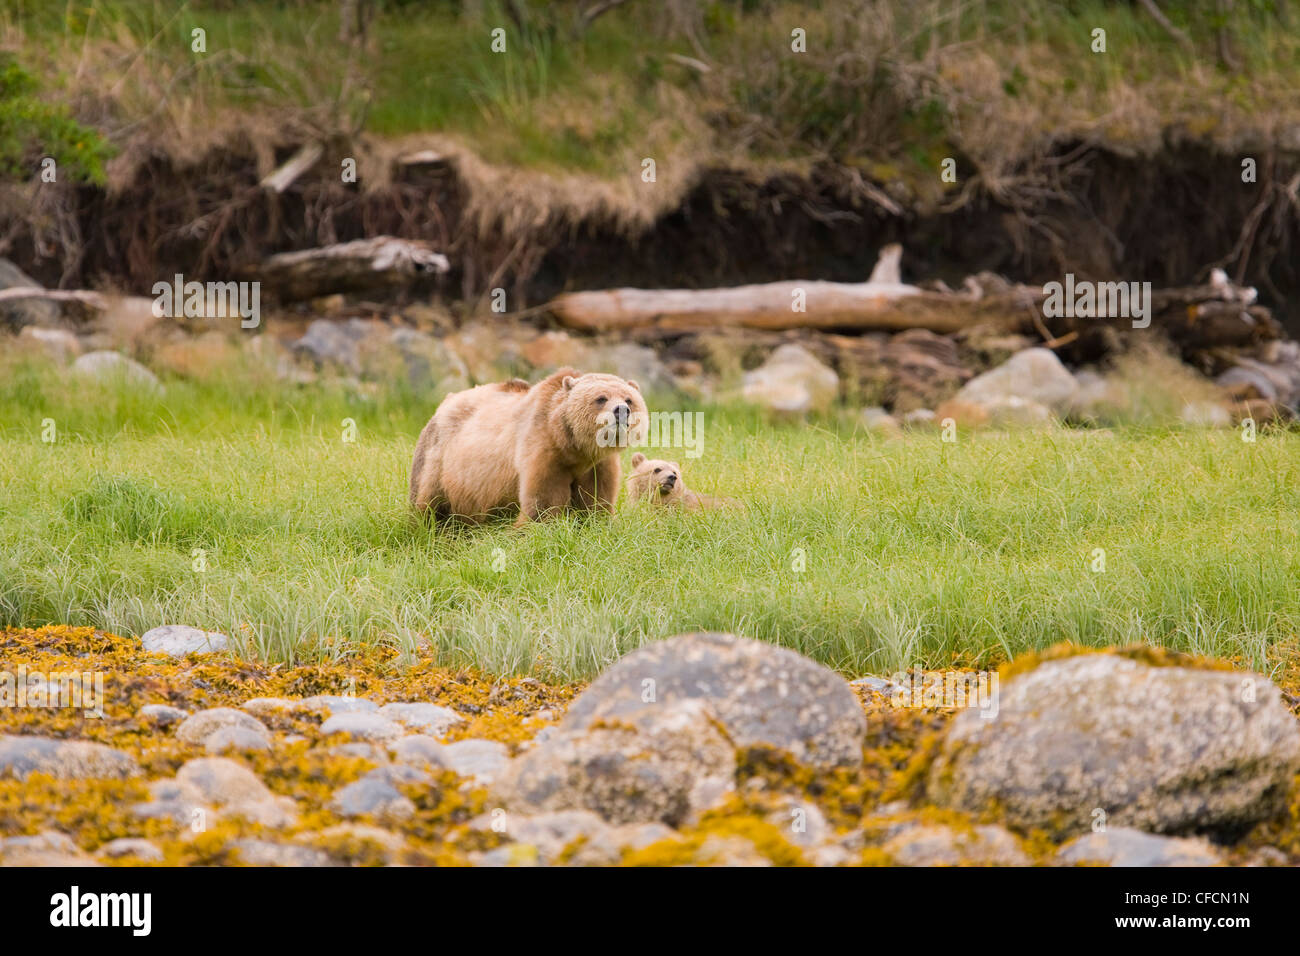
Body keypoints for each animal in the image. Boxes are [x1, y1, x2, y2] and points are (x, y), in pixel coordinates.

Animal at [408, 369, 647, 528]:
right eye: (601, 398)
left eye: (629, 399)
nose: (621, 410)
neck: (575, 448)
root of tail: (447, 400)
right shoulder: (544, 450)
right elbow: (544, 502)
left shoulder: (597, 466)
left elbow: (596, 501)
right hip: (438, 458)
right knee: (429, 502)